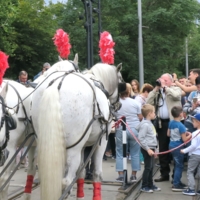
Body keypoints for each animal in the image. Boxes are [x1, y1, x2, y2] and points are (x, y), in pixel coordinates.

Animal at [31, 61, 122, 200]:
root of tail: (56, 85)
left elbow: (81, 173)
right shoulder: (101, 141)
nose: (119, 105)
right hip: (73, 149)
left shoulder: (83, 146)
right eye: (121, 81)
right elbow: (97, 174)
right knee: (66, 181)